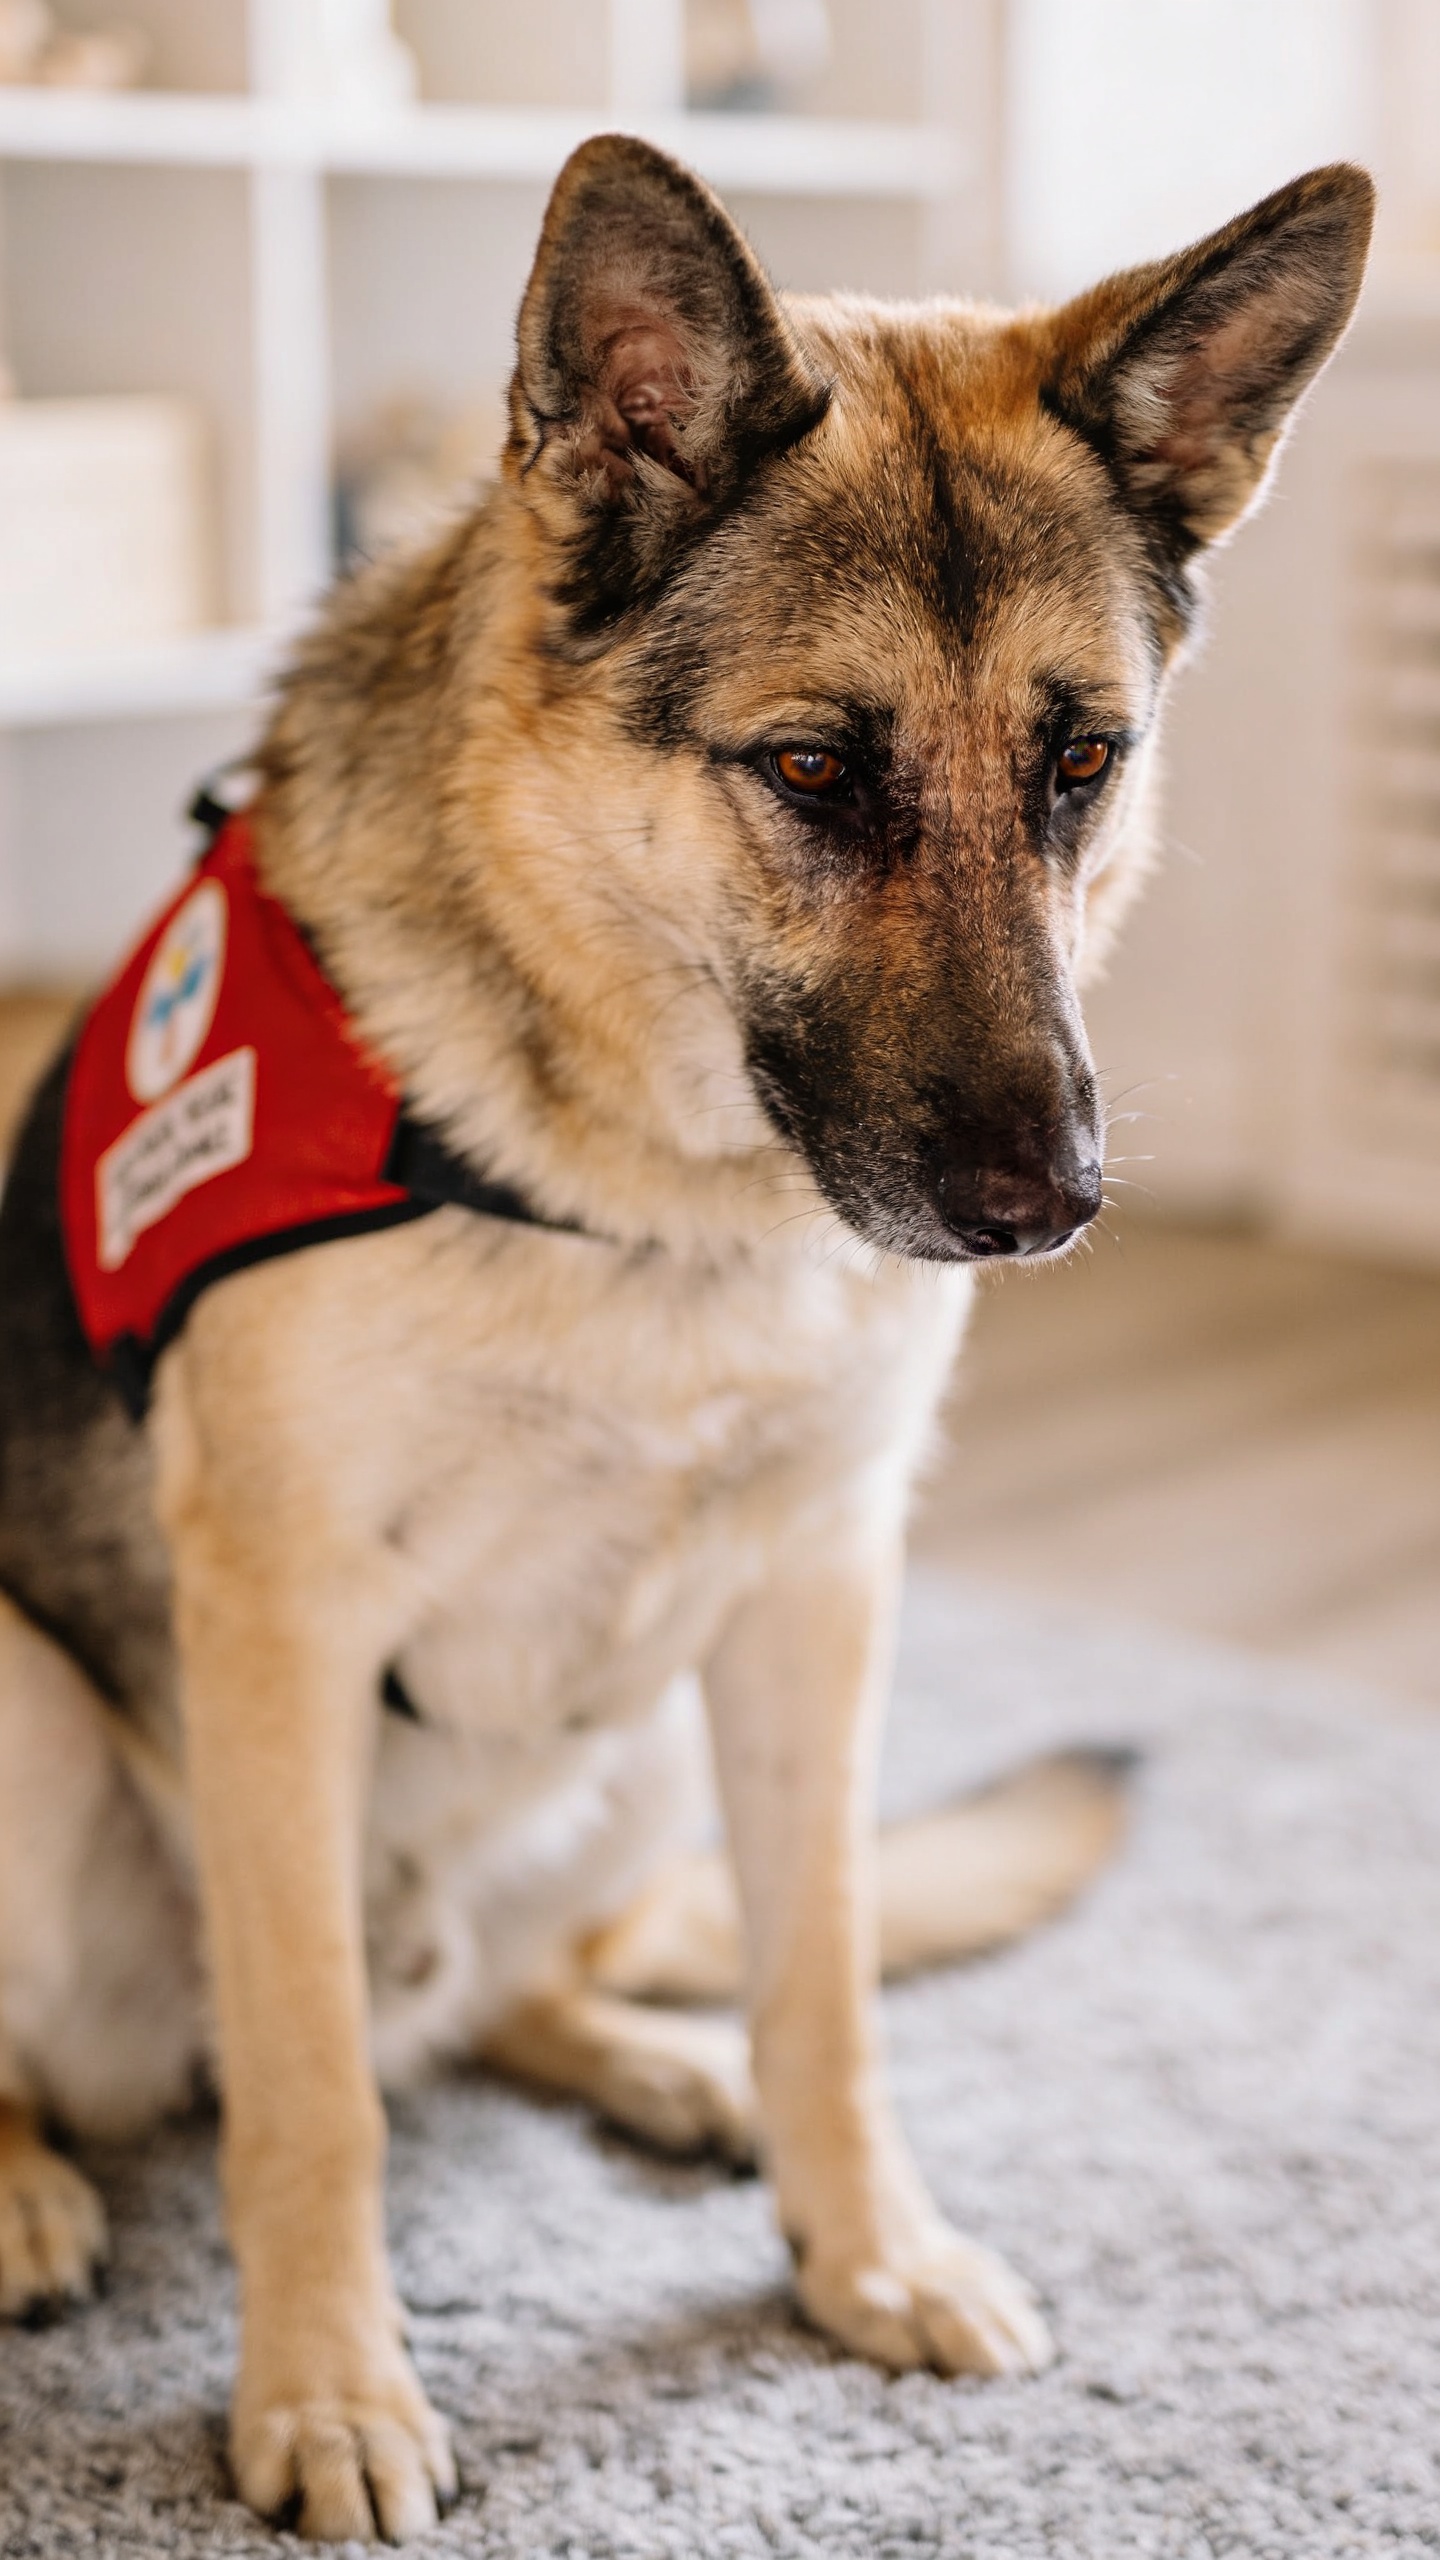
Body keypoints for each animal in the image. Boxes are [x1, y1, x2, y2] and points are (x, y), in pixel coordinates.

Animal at [0, 137, 1371, 2541]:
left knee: (511, 1994)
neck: (650, 1190)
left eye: (1082, 763)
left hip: (636, 1732)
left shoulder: (819, 1596)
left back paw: (661, 2059)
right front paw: (329, 2386)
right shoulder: (275, 1619)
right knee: (294, 2036)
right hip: (32, 1722)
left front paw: (865, 2244)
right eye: (812, 770)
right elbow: (310, 2079)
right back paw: (20, 2183)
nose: (1049, 1207)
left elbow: (826, 1975)